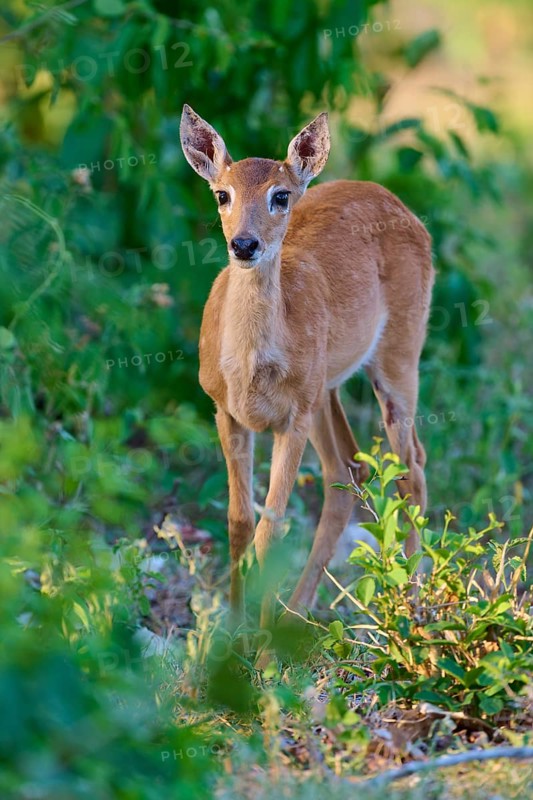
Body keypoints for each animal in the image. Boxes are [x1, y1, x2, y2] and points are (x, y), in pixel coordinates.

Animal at [180, 104, 434, 636]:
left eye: (281, 195)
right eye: (222, 194)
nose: (244, 244)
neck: (249, 370)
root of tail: (400, 205)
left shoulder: (291, 419)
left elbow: (271, 526)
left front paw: (256, 640)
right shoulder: (223, 410)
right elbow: (238, 519)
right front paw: (232, 630)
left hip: (399, 354)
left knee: (412, 468)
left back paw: (411, 609)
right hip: (325, 390)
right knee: (352, 469)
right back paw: (298, 612)